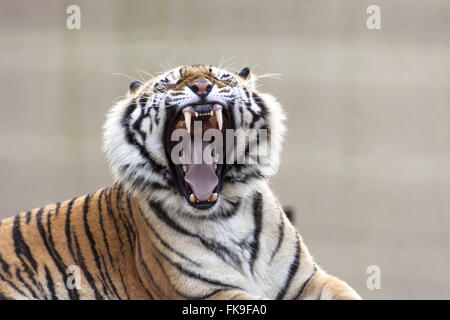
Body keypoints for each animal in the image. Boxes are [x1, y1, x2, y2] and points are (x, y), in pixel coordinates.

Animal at [0, 63, 360, 298]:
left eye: (221, 76)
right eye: (166, 83)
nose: (201, 87)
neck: (228, 214)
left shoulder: (309, 280)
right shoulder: (207, 293)